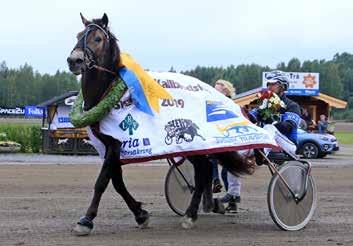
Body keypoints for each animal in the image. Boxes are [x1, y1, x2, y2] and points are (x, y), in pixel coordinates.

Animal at [66, 13, 253, 234]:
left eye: (98, 38)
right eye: (78, 35)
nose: (74, 60)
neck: (109, 92)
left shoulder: (116, 143)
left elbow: (102, 181)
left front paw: (86, 220)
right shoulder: (111, 144)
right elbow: (117, 182)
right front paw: (140, 214)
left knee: (203, 171)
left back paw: (190, 215)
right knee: (204, 169)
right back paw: (201, 208)